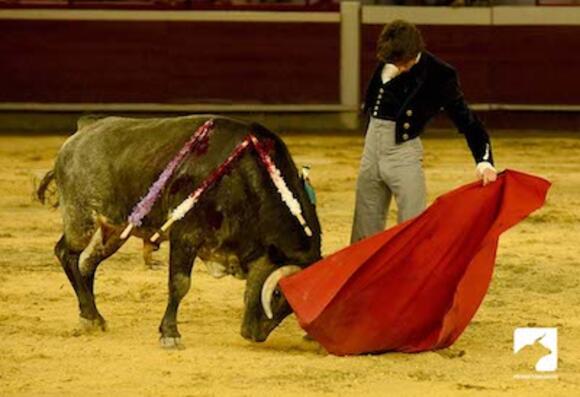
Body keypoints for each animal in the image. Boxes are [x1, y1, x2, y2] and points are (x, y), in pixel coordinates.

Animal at [38, 114, 322, 346]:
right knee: (67, 254)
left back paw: (93, 317)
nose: (256, 335)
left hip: (113, 230)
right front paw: (170, 333)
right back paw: (89, 314)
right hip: (81, 221)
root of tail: (83, 131)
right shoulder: (185, 236)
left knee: (88, 263)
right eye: (277, 293)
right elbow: (180, 283)